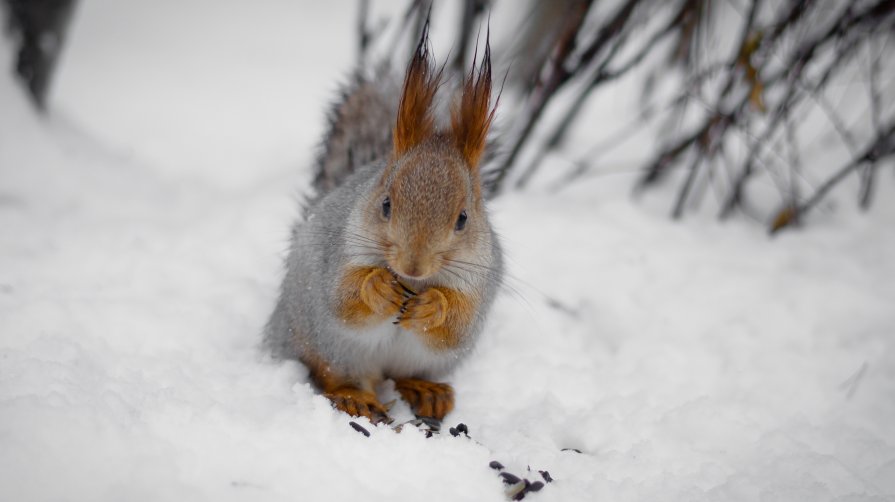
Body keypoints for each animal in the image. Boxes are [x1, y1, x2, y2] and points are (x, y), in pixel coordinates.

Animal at [266, 23, 504, 424]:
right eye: (386, 204)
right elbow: (342, 298)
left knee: (406, 374)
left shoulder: (478, 281)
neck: (413, 282)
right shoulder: (339, 252)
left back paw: (426, 390)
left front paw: (433, 305)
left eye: (463, 219)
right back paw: (354, 397)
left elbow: (456, 324)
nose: (413, 265)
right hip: (327, 346)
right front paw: (377, 287)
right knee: (331, 374)